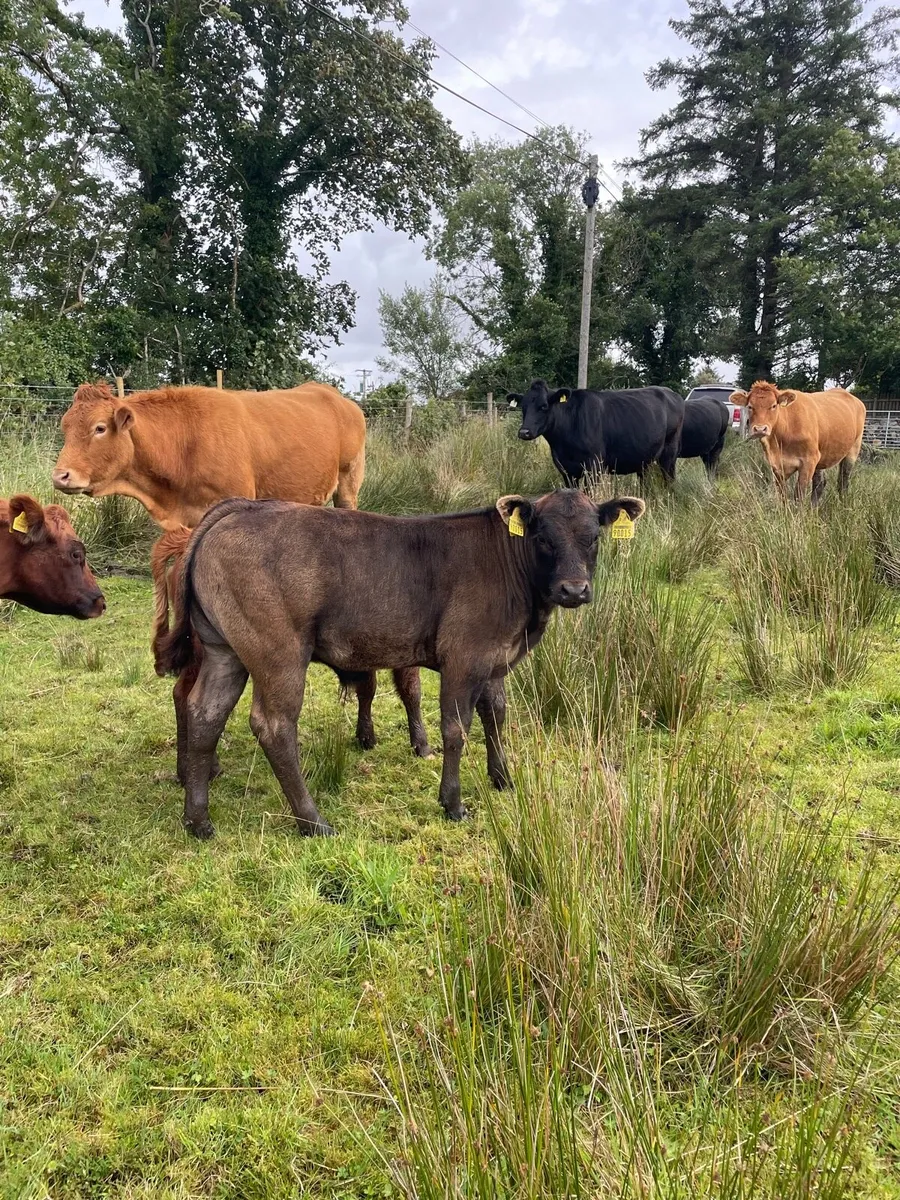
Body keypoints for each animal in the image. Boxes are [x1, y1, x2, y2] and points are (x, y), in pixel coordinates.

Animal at [151, 528, 432, 786]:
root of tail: (186, 541)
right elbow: (410, 691)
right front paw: (422, 745)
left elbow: (370, 690)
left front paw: (367, 736)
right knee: (188, 697)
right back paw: (197, 770)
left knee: (188, 698)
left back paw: (195, 770)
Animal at [508, 379, 684, 486]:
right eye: (523, 406)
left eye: (544, 406)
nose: (524, 432)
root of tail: (671, 393)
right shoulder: (565, 470)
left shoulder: (594, 466)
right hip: (644, 460)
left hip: (669, 454)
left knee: (669, 480)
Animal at [729, 381, 866, 503]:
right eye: (750, 406)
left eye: (773, 405)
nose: (760, 429)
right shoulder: (776, 465)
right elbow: (782, 495)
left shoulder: (808, 462)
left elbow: (799, 495)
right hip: (821, 455)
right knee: (820, 483)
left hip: (853, 449)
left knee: (843, 480)